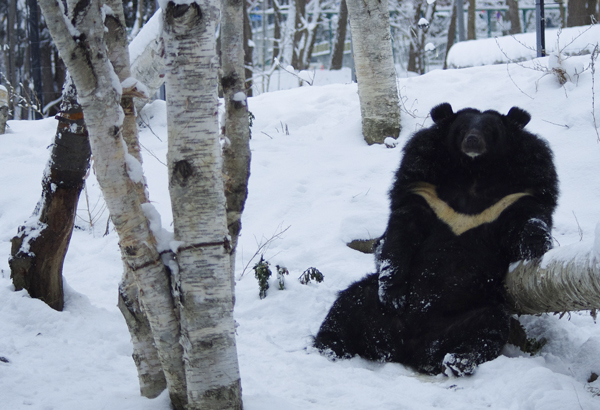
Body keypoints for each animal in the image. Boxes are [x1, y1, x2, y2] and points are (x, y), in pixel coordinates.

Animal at [314, 101, 556, 374]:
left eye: (490, 130)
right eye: (462, 129)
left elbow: (527, 220)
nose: (473, 140)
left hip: (472, 314)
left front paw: (538, 245)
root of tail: (405, 347)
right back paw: (330, 346)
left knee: (490, 326)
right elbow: (400, 234)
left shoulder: (518, 192)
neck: (474, 172)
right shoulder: (423, 186)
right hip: (369, 302)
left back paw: (458, 361)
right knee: (347, 305)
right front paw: (393, 296)